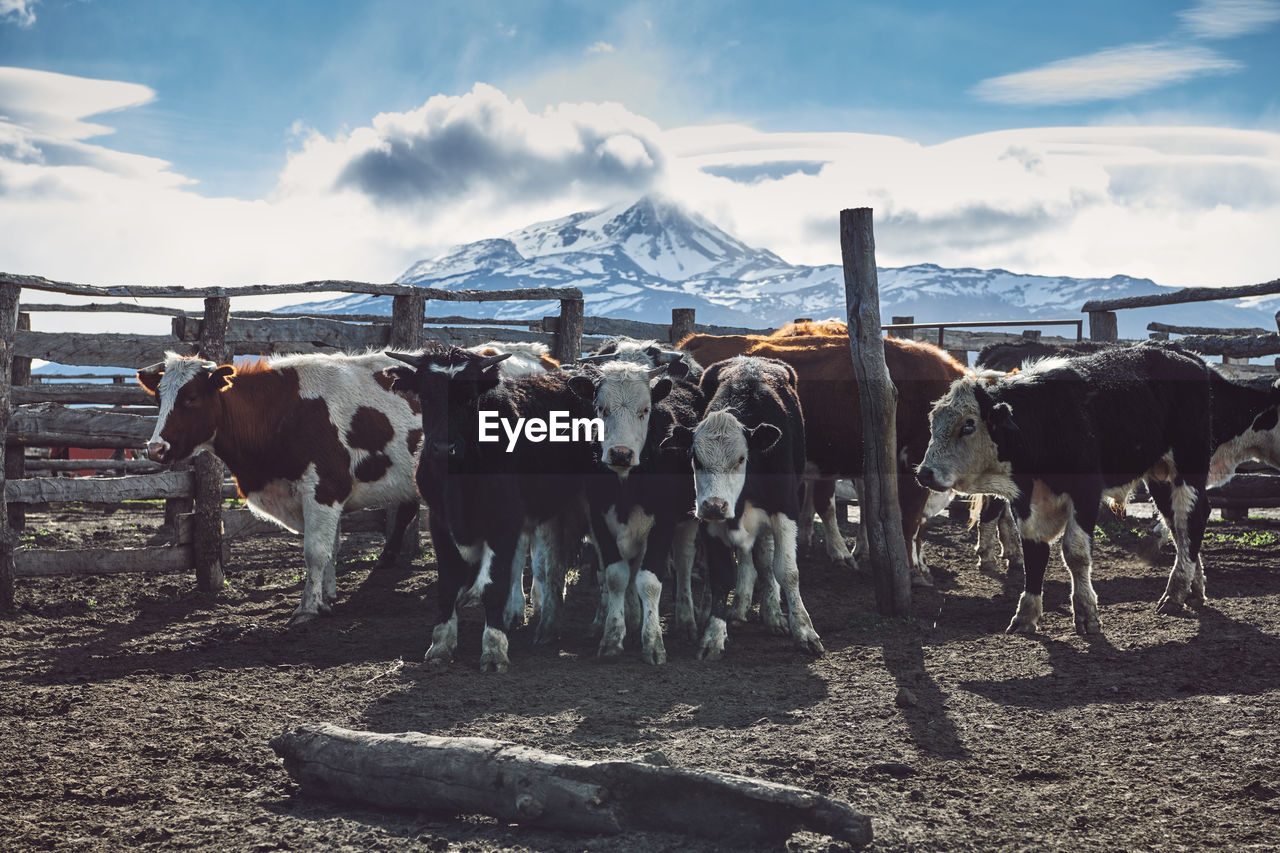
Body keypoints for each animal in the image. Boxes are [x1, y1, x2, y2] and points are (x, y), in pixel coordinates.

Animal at [137, 348, 422, 622]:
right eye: (158, 399)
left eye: (192, 397)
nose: (156, 449)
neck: (281, 413)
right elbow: (331, 550)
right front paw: (326, 598)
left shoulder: (324, 490)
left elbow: (316, 552)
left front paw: (307, 608)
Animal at [381, 345, 596, 671]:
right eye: (426, 397)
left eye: (470, 398)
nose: (443, 448)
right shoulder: (440, 522)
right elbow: (448, 585)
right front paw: (441, 645)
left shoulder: (504, 522)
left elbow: (494, 585)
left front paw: (494, 649)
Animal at [573, 353, 711, 655]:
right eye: (601, 408)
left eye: (645, 410)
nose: (620, 454)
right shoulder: (599, 519)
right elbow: (616, 576)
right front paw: (613, 636)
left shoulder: (664, 522)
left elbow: (649, 581)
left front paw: (653, 642)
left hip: (687, 523)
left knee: (683, 563)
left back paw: (686, 621)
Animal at [655, 350, 824, 655]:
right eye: (695, 458)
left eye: (741, 458)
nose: (714, 505)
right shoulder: (711, 525)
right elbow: (722, 575)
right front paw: (713, 634)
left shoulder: (785, 511)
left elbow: (787, 571)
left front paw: (804, 631)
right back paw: (736, 606)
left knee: (765, 560)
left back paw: (772, 613)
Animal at [916, 343, 1213, 630]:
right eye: (933, 423)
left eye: (968, 425)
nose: (925, 473)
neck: (1045, 422)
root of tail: (1189, 358)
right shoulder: (1025, 500)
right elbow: (1034, 554)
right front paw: (1026, 614)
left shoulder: (1086, 493)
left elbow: (1075, 552)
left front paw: (1085, 613)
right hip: (1160, 476)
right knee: (1179, 528)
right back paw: (1193, 587)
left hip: (1188, 466)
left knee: (1191, 520)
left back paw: (1174, 594)